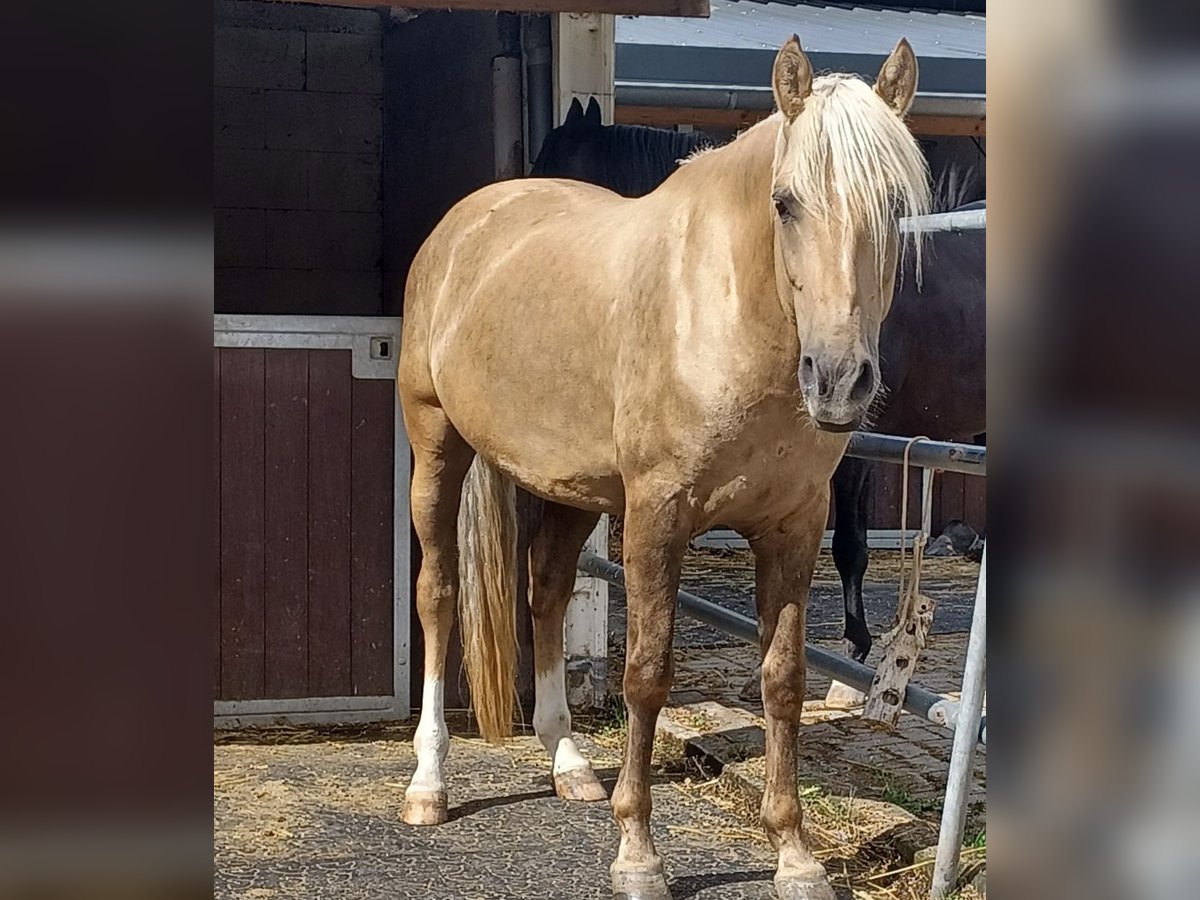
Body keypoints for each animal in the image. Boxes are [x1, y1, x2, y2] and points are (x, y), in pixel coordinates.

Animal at [398, 37, 931, 900]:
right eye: (786, 202)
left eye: (894, 205)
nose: (839, 380)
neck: (722, 315)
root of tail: (467, 222)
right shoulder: (656, 519)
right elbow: (646, 674)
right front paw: (638, 852)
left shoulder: (794, 528)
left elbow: (783, 680)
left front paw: (795, 855)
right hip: (437, 448)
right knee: (439, 595)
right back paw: (428, 785)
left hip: (569, 488)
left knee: (545, 593)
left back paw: (570, 765)